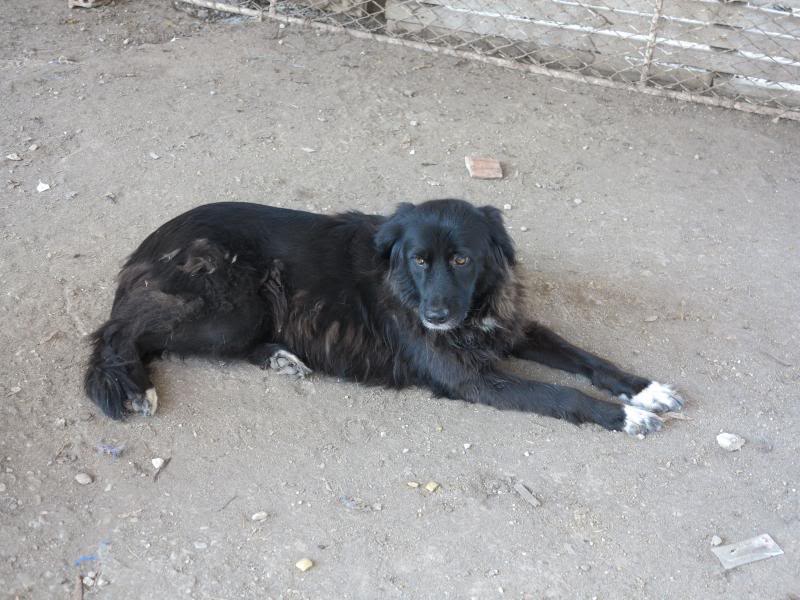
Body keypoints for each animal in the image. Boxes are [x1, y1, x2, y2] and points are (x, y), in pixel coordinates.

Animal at [86, 199, 680, 434]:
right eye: (418, 259)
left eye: (462, 259)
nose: (436, 316)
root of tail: (149, 244)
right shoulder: (471, 379)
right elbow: (560, 393)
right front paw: (624, 416)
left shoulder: (510, 327)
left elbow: (585, 358)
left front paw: (643, 389)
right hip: (229, 309)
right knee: (119, 331)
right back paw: (133, 385)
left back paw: (282, 357)